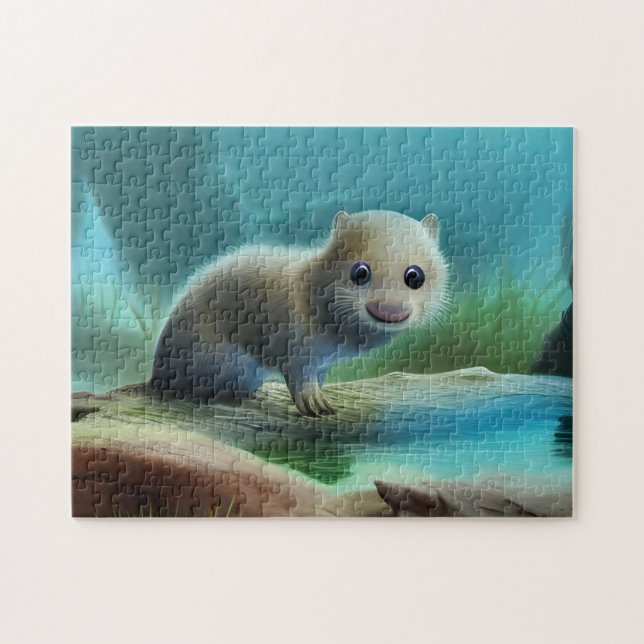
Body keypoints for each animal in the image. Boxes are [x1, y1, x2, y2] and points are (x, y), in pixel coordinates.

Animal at [149, 210, 449, 416]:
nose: (390, 308)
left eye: (414, 276)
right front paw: (314, 404)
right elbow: (298, 376)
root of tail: (156, 375)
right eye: (360, 272)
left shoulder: (324, 362)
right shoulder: (295, 344)